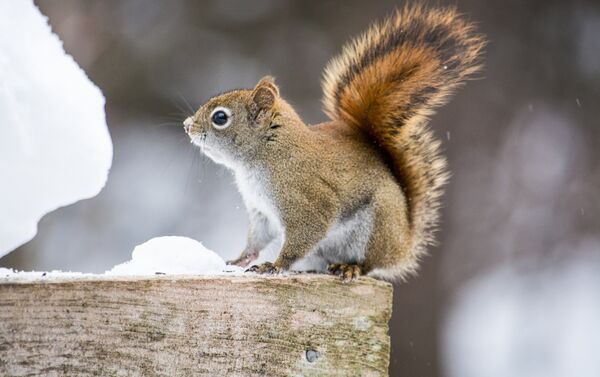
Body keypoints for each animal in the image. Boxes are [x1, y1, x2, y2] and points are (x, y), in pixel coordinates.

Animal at [183, 3, 482, 280]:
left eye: (220, 117)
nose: (187, 126)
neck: (264, 156)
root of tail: (404, 244)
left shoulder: (306, 200)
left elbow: (305, 233)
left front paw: (274, 265)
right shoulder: (262, 212)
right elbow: (256, 240)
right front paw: (238, 260)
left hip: (377, 226)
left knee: (370, 263)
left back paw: (350, 267)